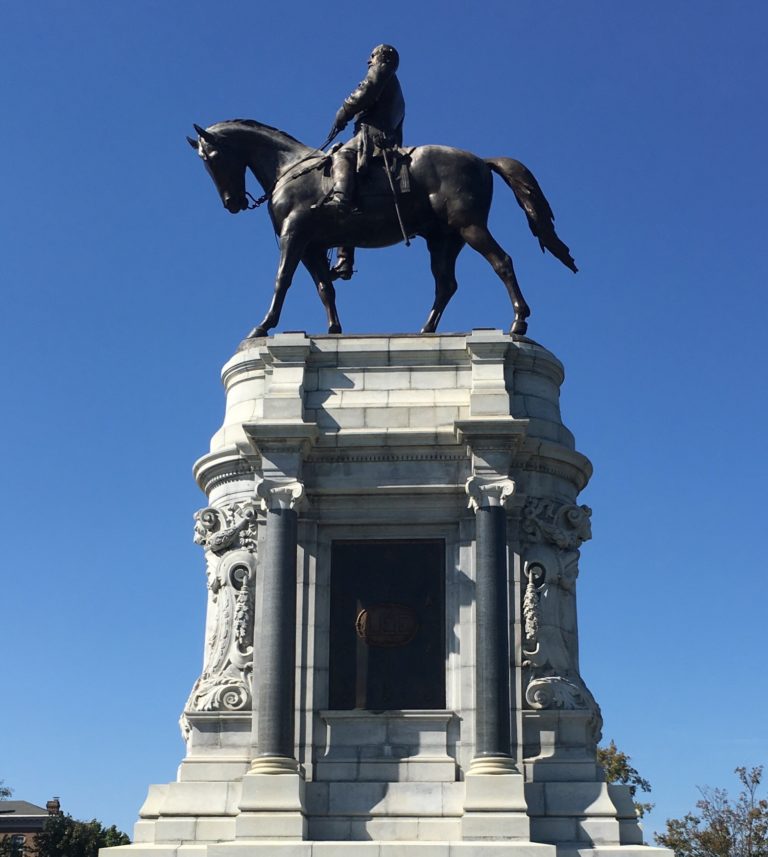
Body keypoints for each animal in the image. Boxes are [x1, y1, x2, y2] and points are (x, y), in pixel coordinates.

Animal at [188, 118, 576, 340]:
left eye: (212, 158)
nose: (232, 203)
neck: (289, 167)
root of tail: (481, 160)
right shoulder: (312, 245)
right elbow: (325, 288)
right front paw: (334, 331)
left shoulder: (293, 235)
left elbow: (282, 280)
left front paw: (263, 326)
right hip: (443, 239)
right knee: (446, 284)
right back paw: (426, 330)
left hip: (468, 226)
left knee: (502, 263)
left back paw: (518, 323)